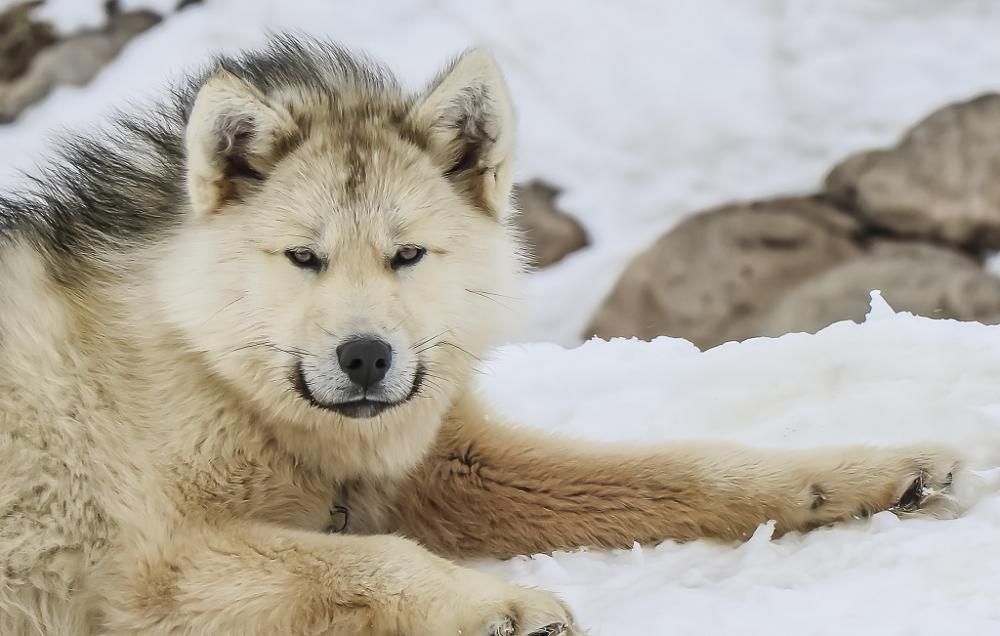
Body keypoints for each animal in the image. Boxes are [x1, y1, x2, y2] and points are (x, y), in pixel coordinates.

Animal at [0, 37, 968, 632]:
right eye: (304, 257)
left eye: (407, 255)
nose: (365, 357)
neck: (211, 371)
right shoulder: (159, 566)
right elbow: (371, 558)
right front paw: (492, 609)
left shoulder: (454, 468)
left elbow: (689, 466)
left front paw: (868, 478)